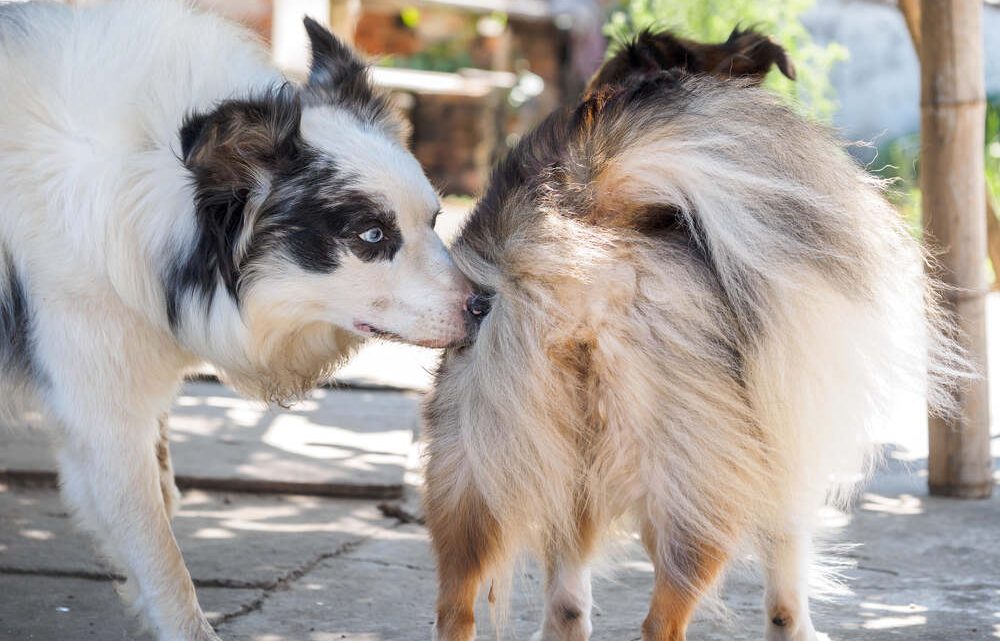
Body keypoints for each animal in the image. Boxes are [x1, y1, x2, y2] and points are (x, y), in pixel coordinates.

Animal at [0, 2, 472, 636]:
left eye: (435, 219)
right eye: (372, 236)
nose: (485, 304)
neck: (150, 191)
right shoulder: (102, 412)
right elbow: (161, 557)